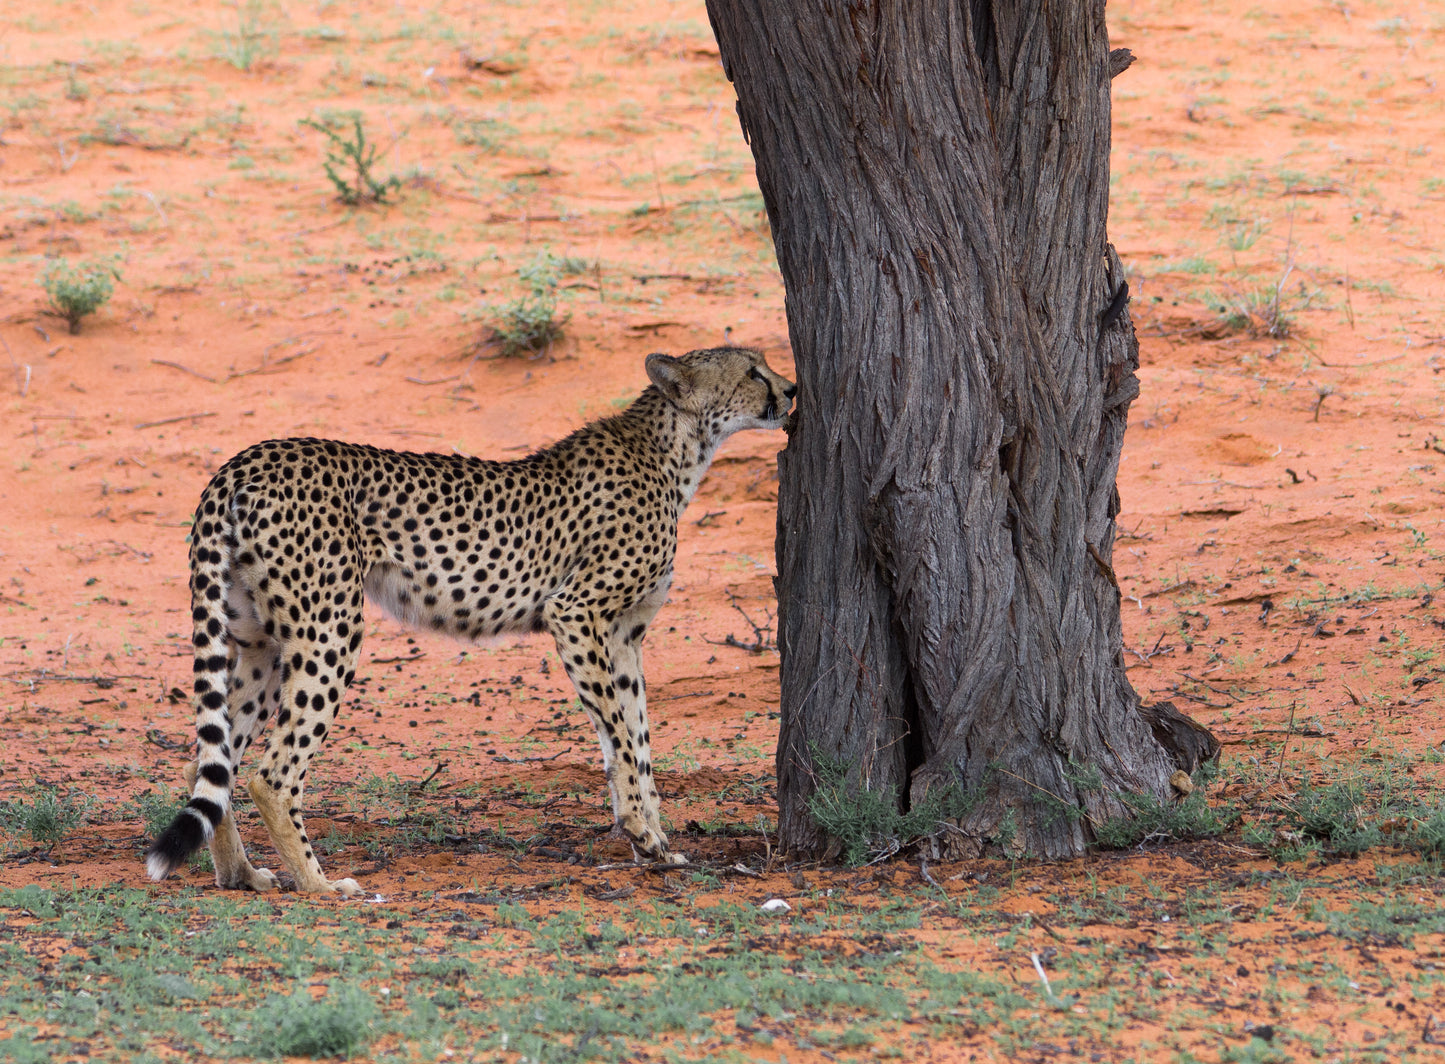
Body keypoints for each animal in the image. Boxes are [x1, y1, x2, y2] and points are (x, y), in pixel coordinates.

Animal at [145, 346, 795, 895]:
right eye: (752, 370)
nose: (791, 390)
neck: (673, 450)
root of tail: (245, 460)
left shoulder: (624, 635)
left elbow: (636, 738)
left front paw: (656, 844)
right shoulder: (576, 612)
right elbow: (618, 734)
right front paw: (640, 831)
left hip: (259, 644)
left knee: (211, 761)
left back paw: (241, 874)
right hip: (328, 630)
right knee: (272, 772)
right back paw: (320, 885)